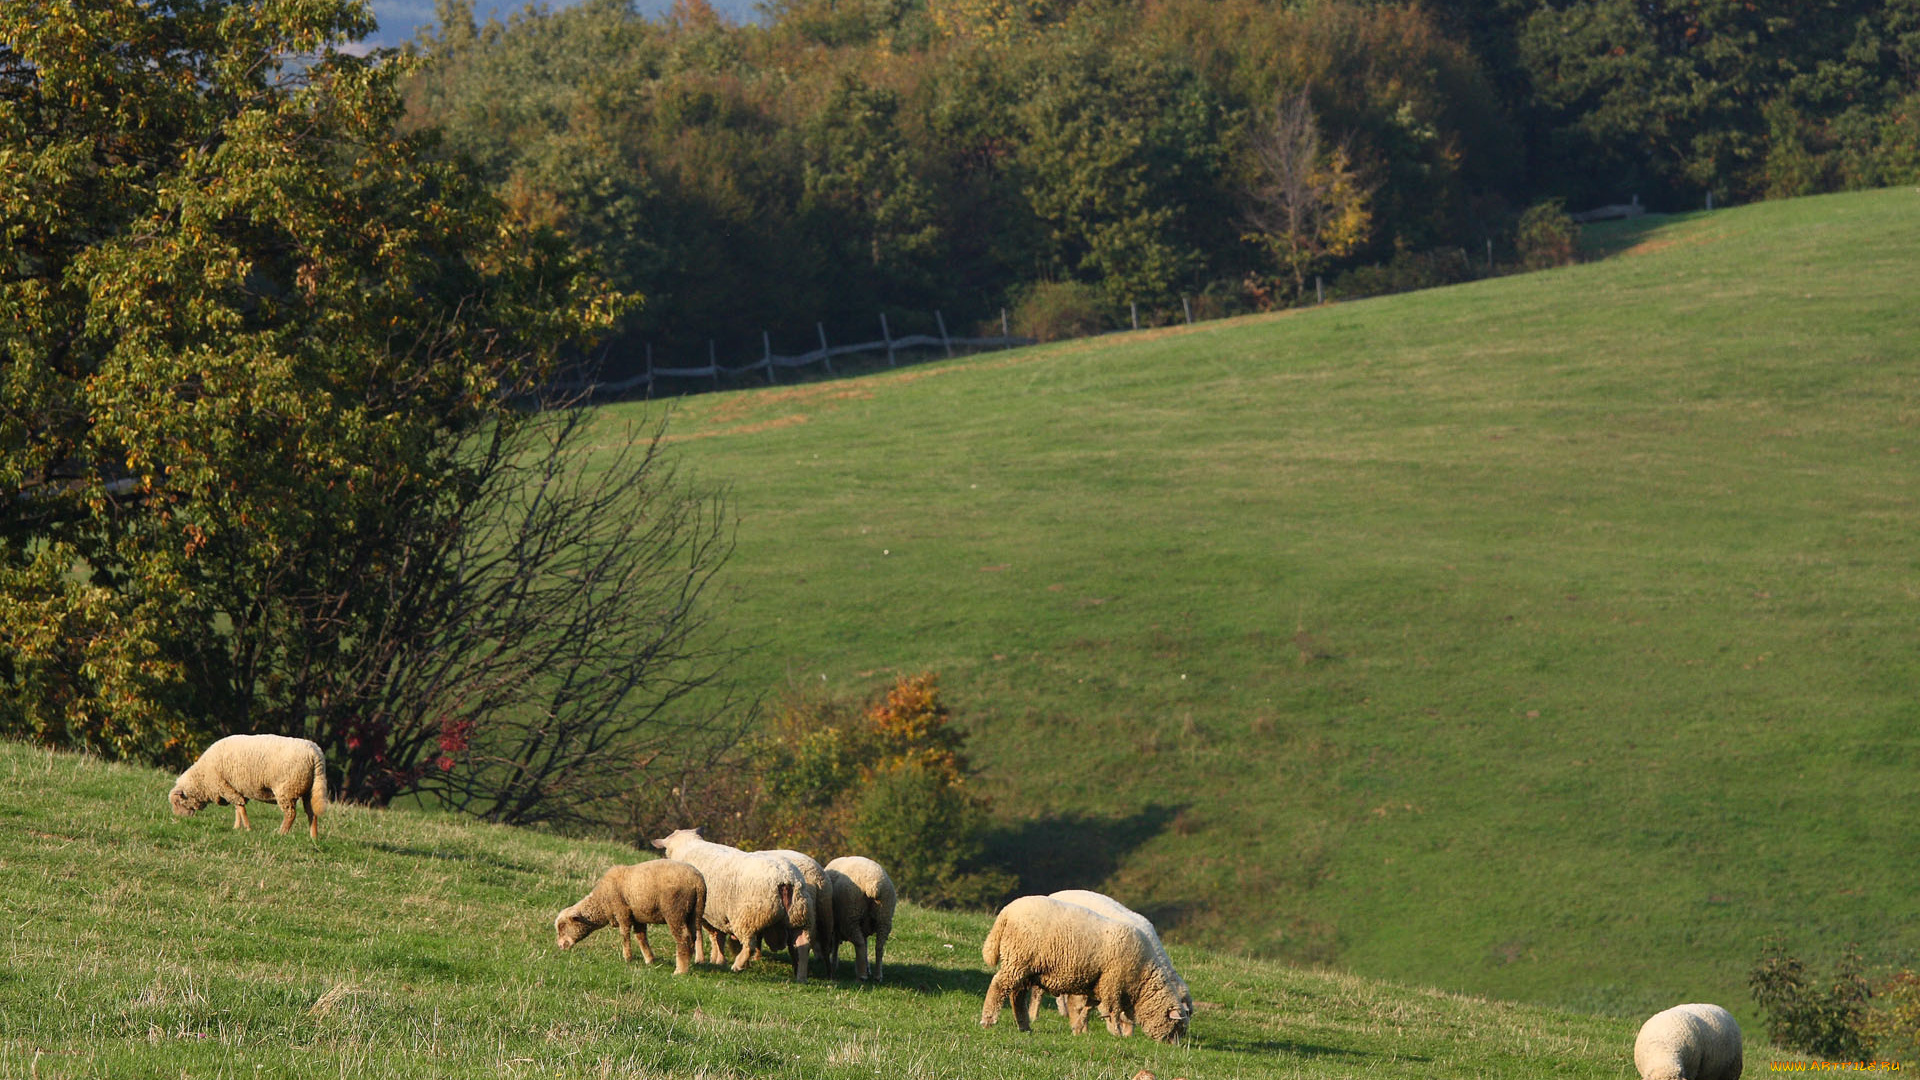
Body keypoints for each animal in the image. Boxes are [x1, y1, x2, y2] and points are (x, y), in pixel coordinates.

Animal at [168, 730, 330, 841]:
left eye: (177, 802)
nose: (179, 819)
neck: (202, 779)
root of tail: (315, 754)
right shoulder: (234, 788)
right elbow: (238, 809)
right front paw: (237, 827)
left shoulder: (225, 787)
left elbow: (240, 808)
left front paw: (246, 828)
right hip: (310, 789)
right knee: (312, 813)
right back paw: (313, 837)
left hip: (287, 789)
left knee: (291, 814)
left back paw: (281, 833)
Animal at [556, 857, 714, 976]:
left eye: (563, 926)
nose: (560, 946)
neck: (602, 901)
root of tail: (698, 882)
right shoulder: (638, 916)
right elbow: (641, 937)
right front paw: (649, 960)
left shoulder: (622, 911)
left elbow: (624, 935)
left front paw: (627, 958)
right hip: (695, 912)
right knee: (693, 936)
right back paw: (688, 964)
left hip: (675, 911)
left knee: (683, 938)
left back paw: (680, 971)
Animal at [652, 826, 817, 980]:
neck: (689, 845)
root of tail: (786, 879)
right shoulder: (717, 914)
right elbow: (718, 937)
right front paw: (718, 960)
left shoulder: (703, 913)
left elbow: (702, 935)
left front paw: (702, 959)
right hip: (799, 916)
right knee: (803, 946)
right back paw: (801, 977)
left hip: (748, 918)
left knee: (749, 945)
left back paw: (737, 965)